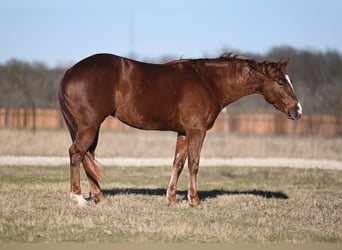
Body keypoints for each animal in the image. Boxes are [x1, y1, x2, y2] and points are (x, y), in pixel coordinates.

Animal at [58, 52, 302, 205]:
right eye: (281, 82)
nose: (297, 110)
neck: (208, 81)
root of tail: (70, 71)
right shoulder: (196, 131)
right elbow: (194, 163)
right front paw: (195, 200)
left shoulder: (184, 132)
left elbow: (178, 163)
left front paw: (172, 198)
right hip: (89, 127)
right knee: (76, 153)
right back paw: (78, 197)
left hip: (91, 128)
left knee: (87, 156)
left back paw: (100, 197)